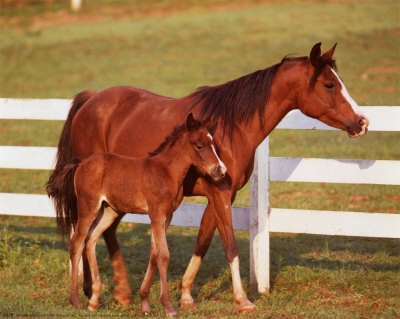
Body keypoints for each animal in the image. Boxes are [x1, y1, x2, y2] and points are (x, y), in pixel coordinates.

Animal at [47, 43, 368, 316]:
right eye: (329, 84)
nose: (362, 122)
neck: (231, 127)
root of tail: (91, 99)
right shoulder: (219, 193)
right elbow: (230, 246)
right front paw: (242, 300)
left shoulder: (224, 194)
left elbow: (202, 241)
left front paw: (186, 296)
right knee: (85, 234)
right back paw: (91, 291)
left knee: (102, 233)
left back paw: (117, 293)